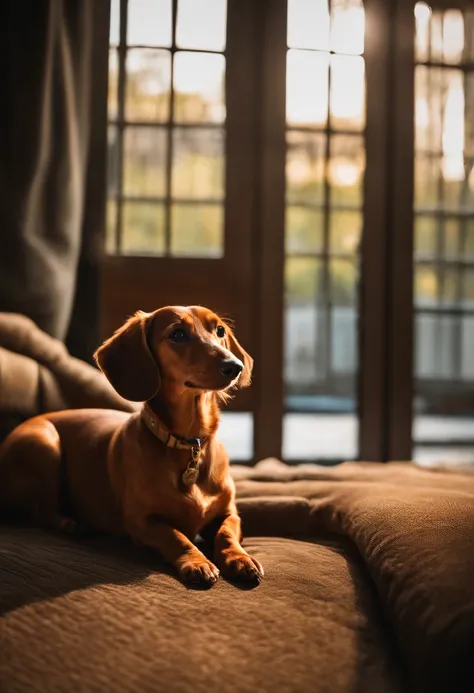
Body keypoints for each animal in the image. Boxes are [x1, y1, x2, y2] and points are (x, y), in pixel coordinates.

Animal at [0, 306, 262, 588]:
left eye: (220, 330)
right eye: (178, 334)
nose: (234, 366)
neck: (188, 444)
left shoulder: (228, 512)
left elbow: (226, 534)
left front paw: (240, 559)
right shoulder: (142, 522)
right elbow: (176, 536)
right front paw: (197, 561)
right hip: (46, 445)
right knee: (41, 511)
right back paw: (71, 524)